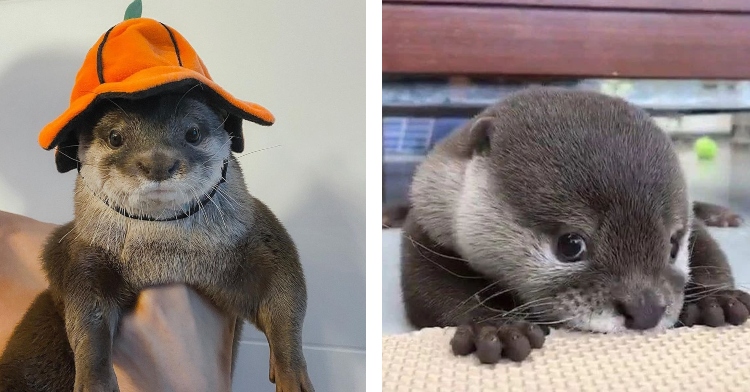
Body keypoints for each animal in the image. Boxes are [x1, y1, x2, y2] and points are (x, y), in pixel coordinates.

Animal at [0, 16, 314, 390]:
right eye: (115, 137)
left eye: (193, 132)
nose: (158, 163)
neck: (165, 258)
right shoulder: (80, 254)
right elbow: (86, 317)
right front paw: (94, 379)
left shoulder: (261, 236)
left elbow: (287, 296)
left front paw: (292, 373)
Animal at [402, 86, 750, 364]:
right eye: (570, 245)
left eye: (674, 245)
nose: (646, 309)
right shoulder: (426, 224)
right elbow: (433, 292)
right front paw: (495, 328)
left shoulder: (694, 227)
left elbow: (710, 251)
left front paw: (716, 298)